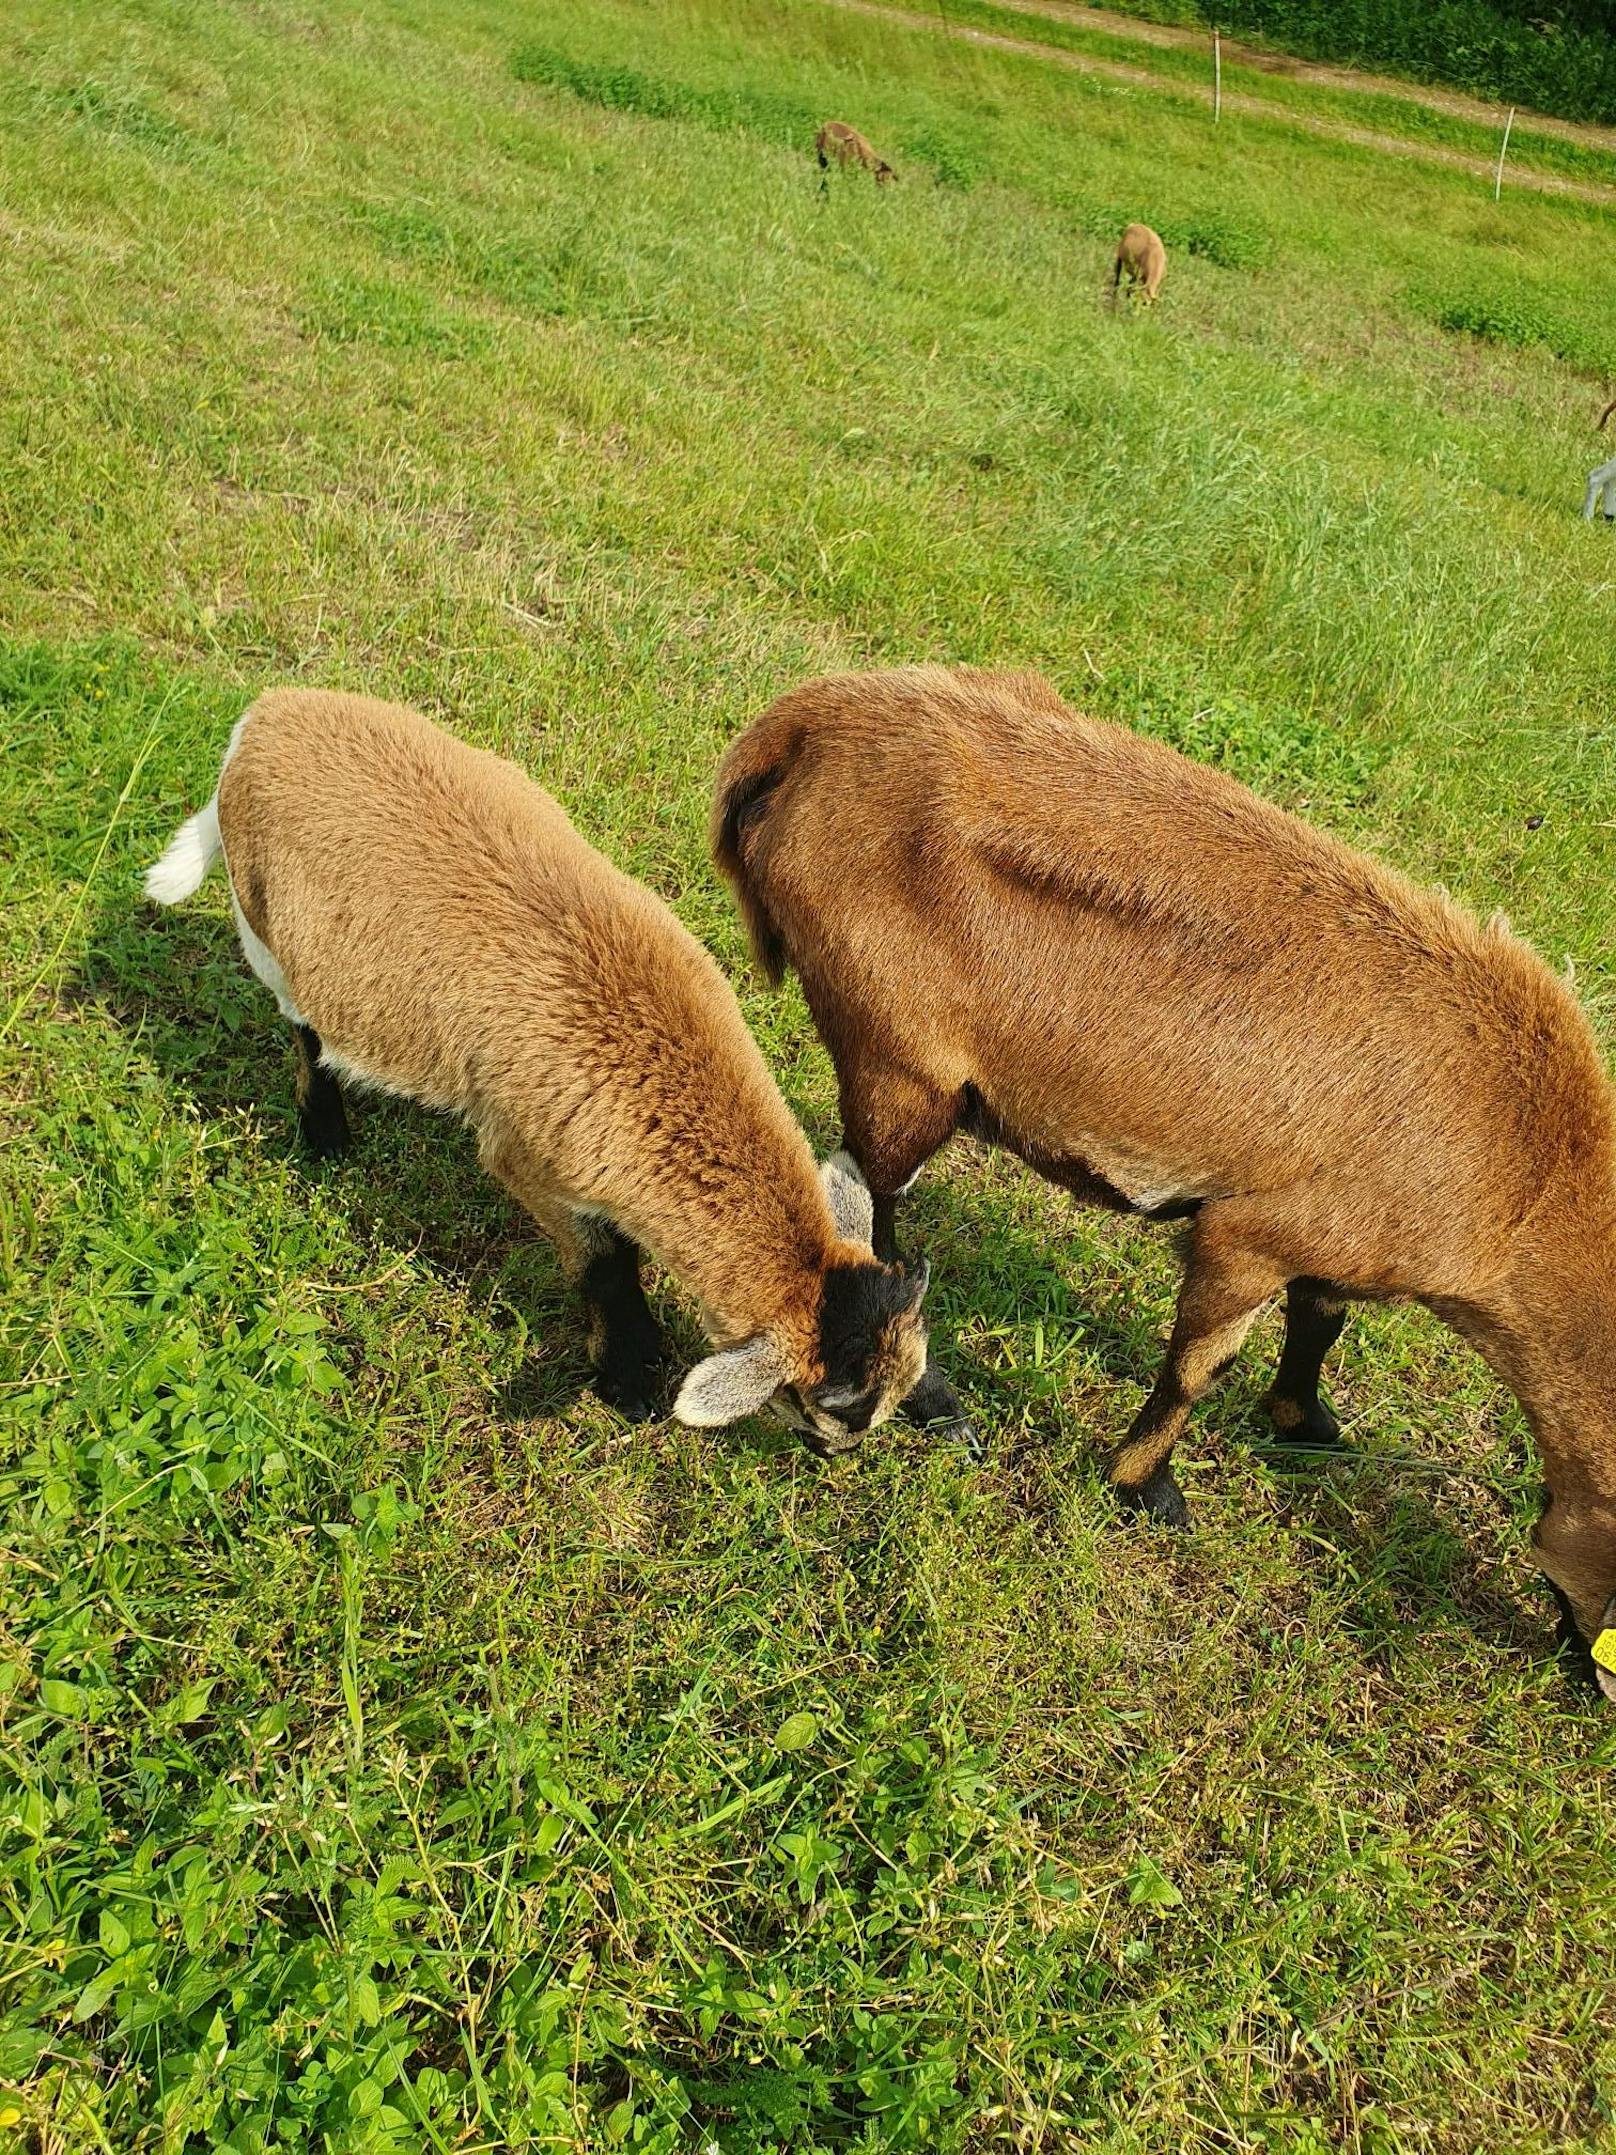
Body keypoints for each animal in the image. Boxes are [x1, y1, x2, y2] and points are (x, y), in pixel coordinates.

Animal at [148, 689, 935, 1448]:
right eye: (829, 1409)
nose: (838, 1457)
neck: (645, 1041)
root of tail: (263, 717)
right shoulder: (527, 1156)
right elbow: (603, 1265)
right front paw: (628, 1377)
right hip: (262, 922)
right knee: (300, 1023)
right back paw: (326, 1132)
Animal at [715, 663, 1616, 1689]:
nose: (1588, 1678)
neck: (1530, 1178)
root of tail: (801, 726)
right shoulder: (1248, 1232)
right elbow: (1196, 1368)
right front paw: (1147, 1488)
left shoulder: (1334, 1239)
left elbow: (1320, 1322)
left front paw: (1305, 1420)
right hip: (899, 1058)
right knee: (879, 1209)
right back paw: (937, 1401)